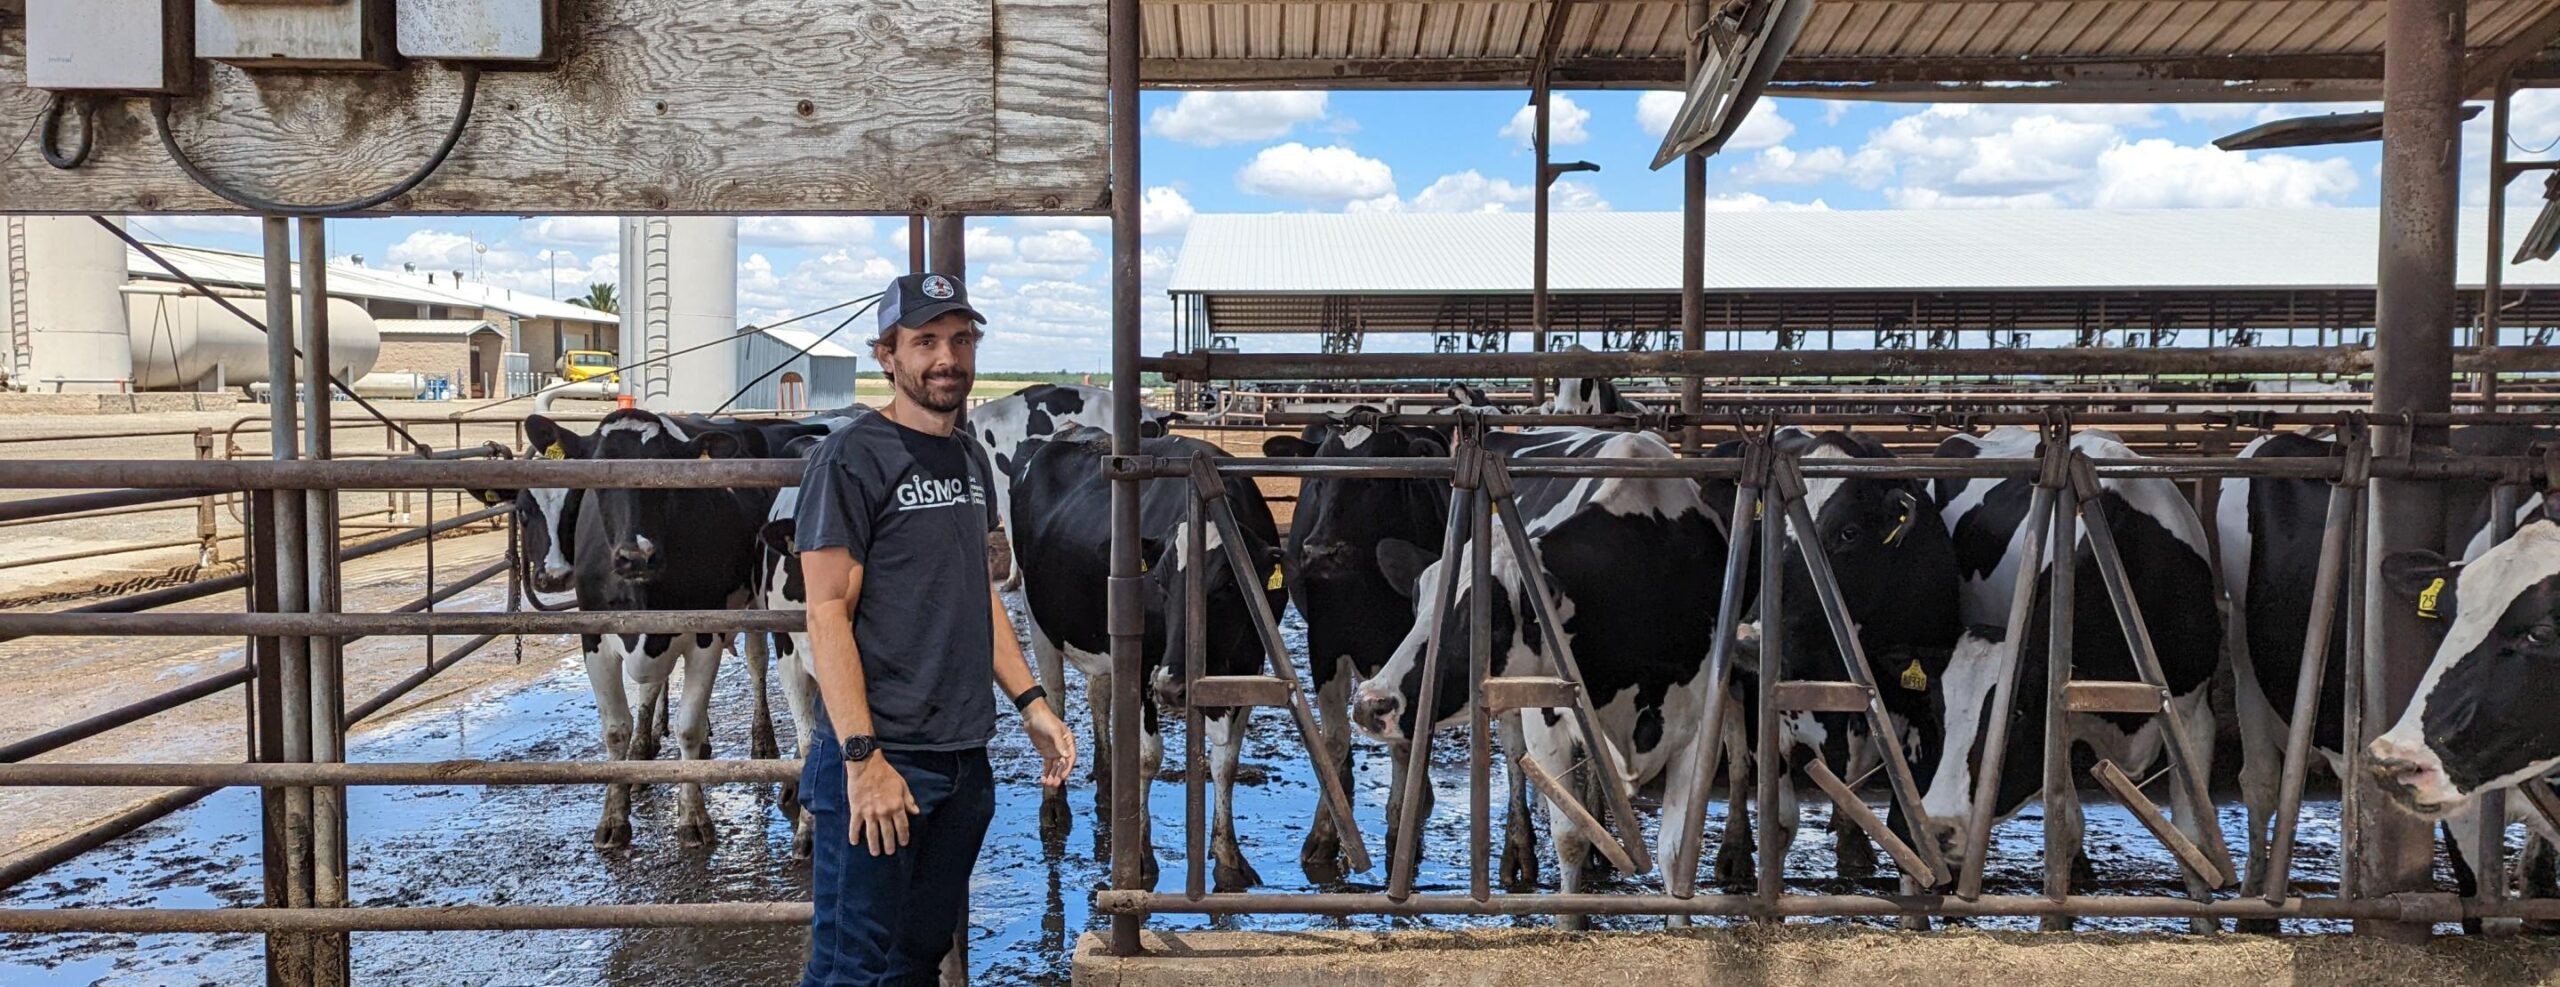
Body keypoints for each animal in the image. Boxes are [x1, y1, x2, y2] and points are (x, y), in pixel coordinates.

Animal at [998, 424, 1280, 884]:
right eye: (1159, 582)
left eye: (1226, 585)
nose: (1173, 686)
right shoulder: (1148, 662)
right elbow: (1149, 757)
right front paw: (1142, 857)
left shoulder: (1249, 664)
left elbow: (1226, 762)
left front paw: (1227, 856)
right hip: (1037, 614)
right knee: (1054, 699)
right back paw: (1055, 807)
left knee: (1099, 695)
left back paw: (1108, 785)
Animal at [1351, 427, 1730, 915]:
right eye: (1418, 607)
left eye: (1489, 619)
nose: (1370, 704)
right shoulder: (1546, 720)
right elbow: (1569, 836)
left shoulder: (1701, 729)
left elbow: (1677, 851)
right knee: (1516, 759)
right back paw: (1519, 852)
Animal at [1914, 427, 2232, 889]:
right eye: (1936, 714)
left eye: (2016, 714)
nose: (1940, 826)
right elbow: (2066, 828)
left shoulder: (2194, 712)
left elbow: (2194, 838)